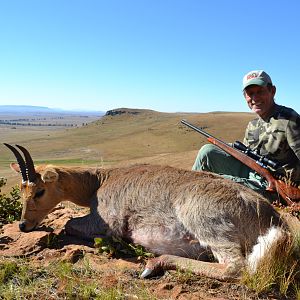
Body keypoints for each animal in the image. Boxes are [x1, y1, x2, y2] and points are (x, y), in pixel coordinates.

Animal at [3, 144, 288, 280]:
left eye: (39, 191)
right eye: (22, 189)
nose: (23, 225)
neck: (100, 180)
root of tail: (271, 217)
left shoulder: (105, 223)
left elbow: (68, 224)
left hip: (208, 227)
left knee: (235, 267)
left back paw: (153, 264)